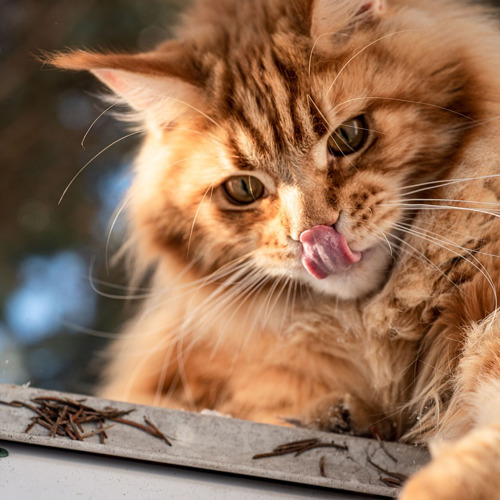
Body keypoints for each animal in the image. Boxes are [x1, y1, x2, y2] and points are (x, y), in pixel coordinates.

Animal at [49, 0, 500, 496]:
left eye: (349, 136)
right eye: (244, 189)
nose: (315, 235)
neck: (369, 329)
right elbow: (250, 402)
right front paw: (337, 416)